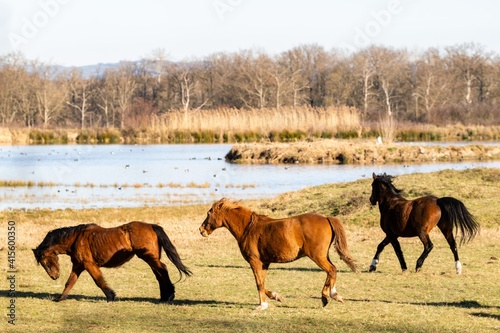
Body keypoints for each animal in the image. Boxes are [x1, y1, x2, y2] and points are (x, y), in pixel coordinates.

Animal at [33, 220, 192, 300]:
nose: (54, 276)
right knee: (159, 274)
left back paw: (169, 296)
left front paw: (111, 296)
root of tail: (151, 226)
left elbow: (98, 280)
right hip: (151, 258)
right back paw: (165, 296)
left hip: (149, 257)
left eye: (45, 261)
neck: (76, 238)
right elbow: (70, 282)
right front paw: (60, 298)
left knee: (163, 270)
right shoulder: (78, 266)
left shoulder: (88, 264)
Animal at [197, 197, 358, 308]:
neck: (249, 228)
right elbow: (262, 283)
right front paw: (276, 297)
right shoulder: (264, 263)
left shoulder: (255, 261)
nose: (201, 230)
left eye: (209, 213)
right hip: (323, 255)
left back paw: (328, 296)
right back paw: (333, 295)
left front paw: (262, 305)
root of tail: (326, 218)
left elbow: (259, 284)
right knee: (333, 270)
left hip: (317, 256)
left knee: (331, 270)